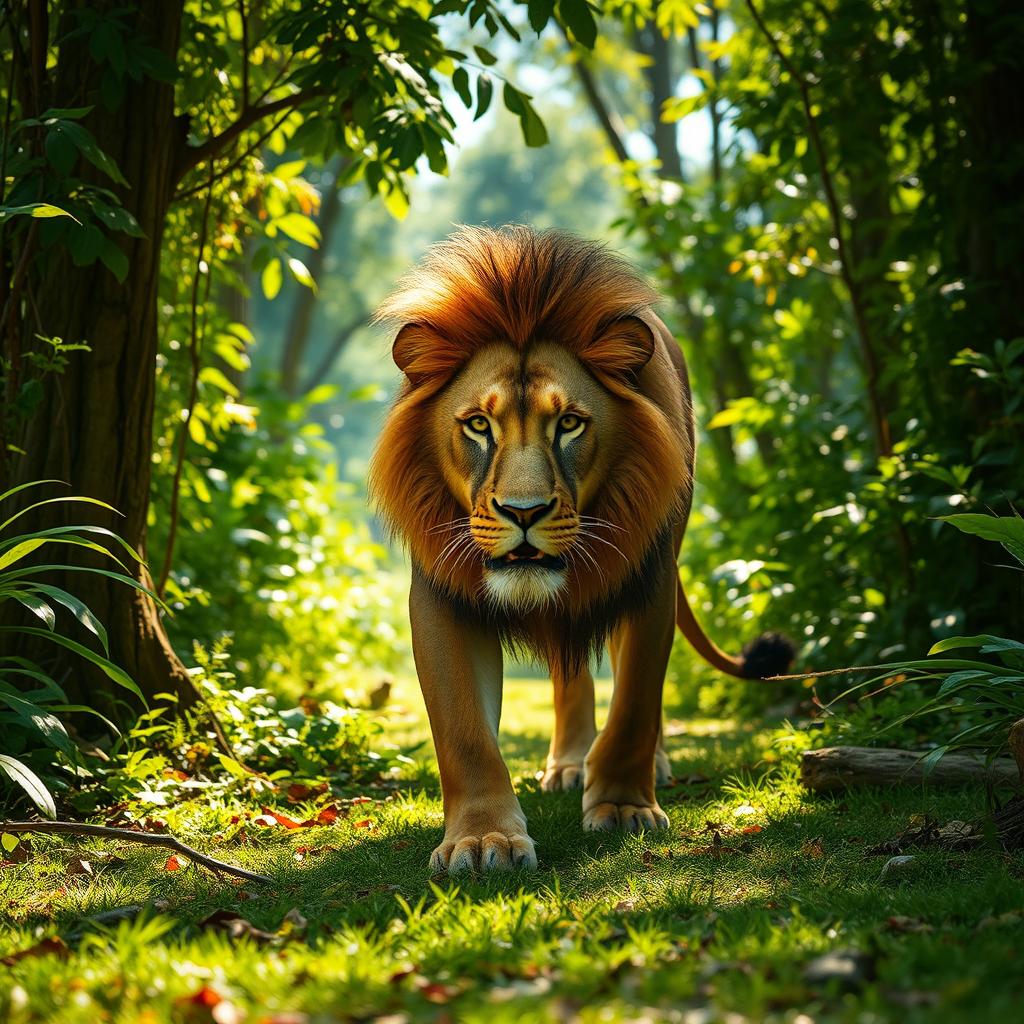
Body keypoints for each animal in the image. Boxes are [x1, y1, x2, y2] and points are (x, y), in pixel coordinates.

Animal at [369, 226, 793, 873]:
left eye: (568, 423)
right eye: (478, 426)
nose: (524, 513)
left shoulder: (649, 579)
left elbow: (636, 700)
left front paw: (621, 806)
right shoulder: (442, 594)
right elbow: (464, 732)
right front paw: (483, 839)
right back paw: (569, 764)